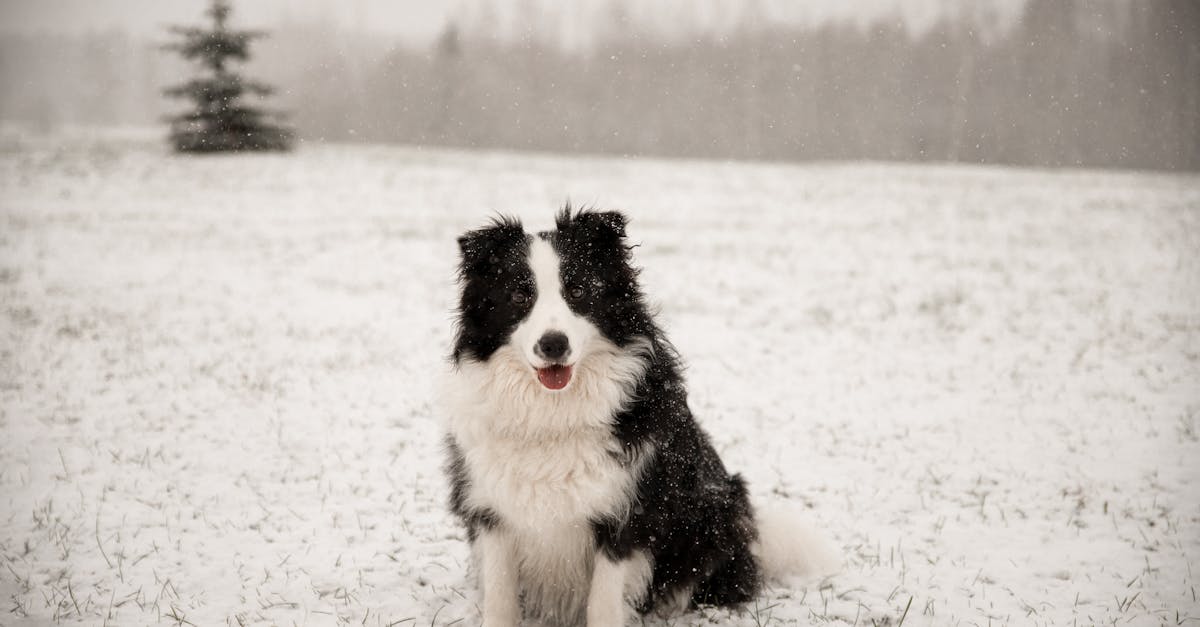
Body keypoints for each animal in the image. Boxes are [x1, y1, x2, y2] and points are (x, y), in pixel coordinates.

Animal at [441, 207, 835, 619]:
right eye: (519, 295)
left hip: (715, 514)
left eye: (578, 291)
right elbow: (500, 599)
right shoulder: (491, 510)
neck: (554, 413)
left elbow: (603, 603)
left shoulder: (628, 513)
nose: (553, 344)